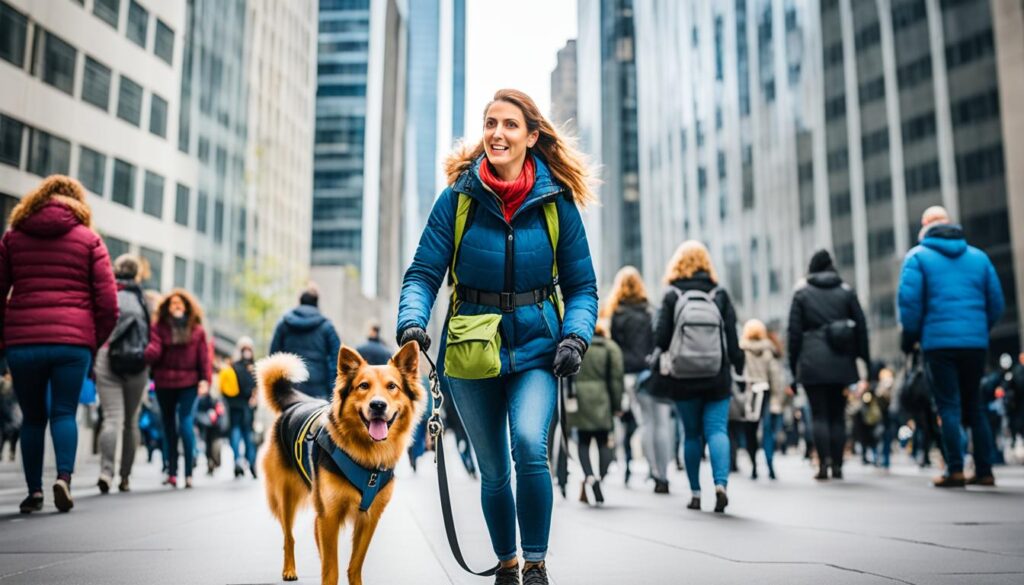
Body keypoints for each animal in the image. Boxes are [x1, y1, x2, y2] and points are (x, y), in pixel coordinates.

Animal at [260, 344, 428, 585]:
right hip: (286, 496)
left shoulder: (369, 518)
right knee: (288, 537)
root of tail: (296, 403)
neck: (368, 456)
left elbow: (355, 564)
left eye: (392, 386)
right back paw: (289, 570)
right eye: (363, 386)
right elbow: (331, 568)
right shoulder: (329, 515)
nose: (378, 405)